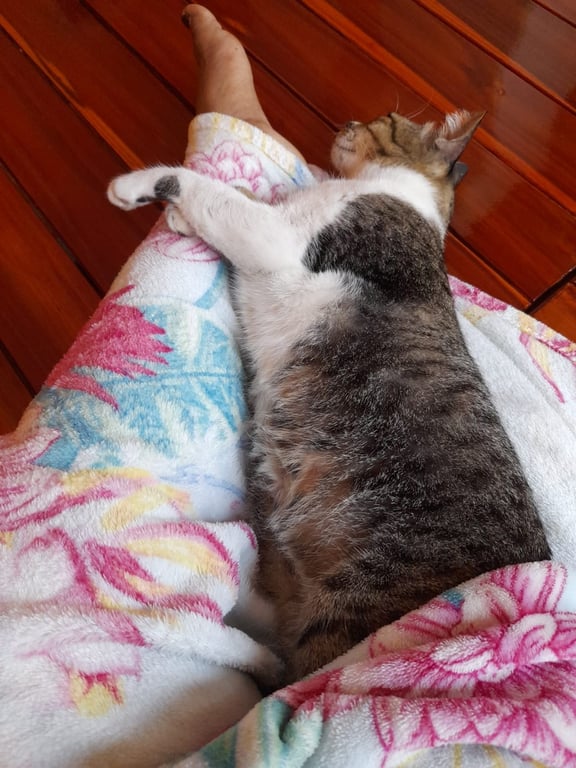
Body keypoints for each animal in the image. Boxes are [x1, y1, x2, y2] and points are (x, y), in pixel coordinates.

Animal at [108, 110, 551, 682]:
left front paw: (137, 187)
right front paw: (184, 220)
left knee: (289, 670)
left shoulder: (275, 236)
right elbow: (230, 199)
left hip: (348, 609)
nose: (349, 121)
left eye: (386, 118)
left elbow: (206, 188)